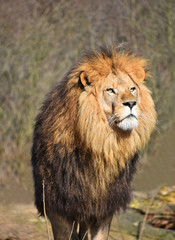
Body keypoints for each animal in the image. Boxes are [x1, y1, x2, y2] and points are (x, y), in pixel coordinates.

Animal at [31, 45, 156, 240]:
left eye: (132, 88)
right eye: (110, 90)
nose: (131, 103)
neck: (102, 143)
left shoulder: (103, 209)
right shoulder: (58, 208)